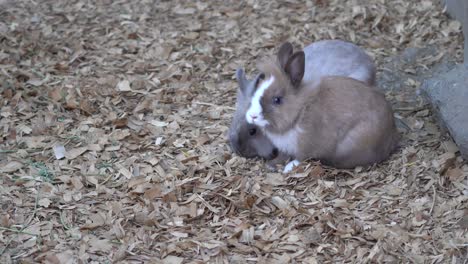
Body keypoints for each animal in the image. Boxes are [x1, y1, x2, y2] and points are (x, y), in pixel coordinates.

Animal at [245, 51, 398, 173]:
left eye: (277, 99)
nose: (252, 116)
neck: (299, 111)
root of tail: (391, 136)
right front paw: (271, 164)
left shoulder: (306, 146)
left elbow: (301, 158)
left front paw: (288, 168)